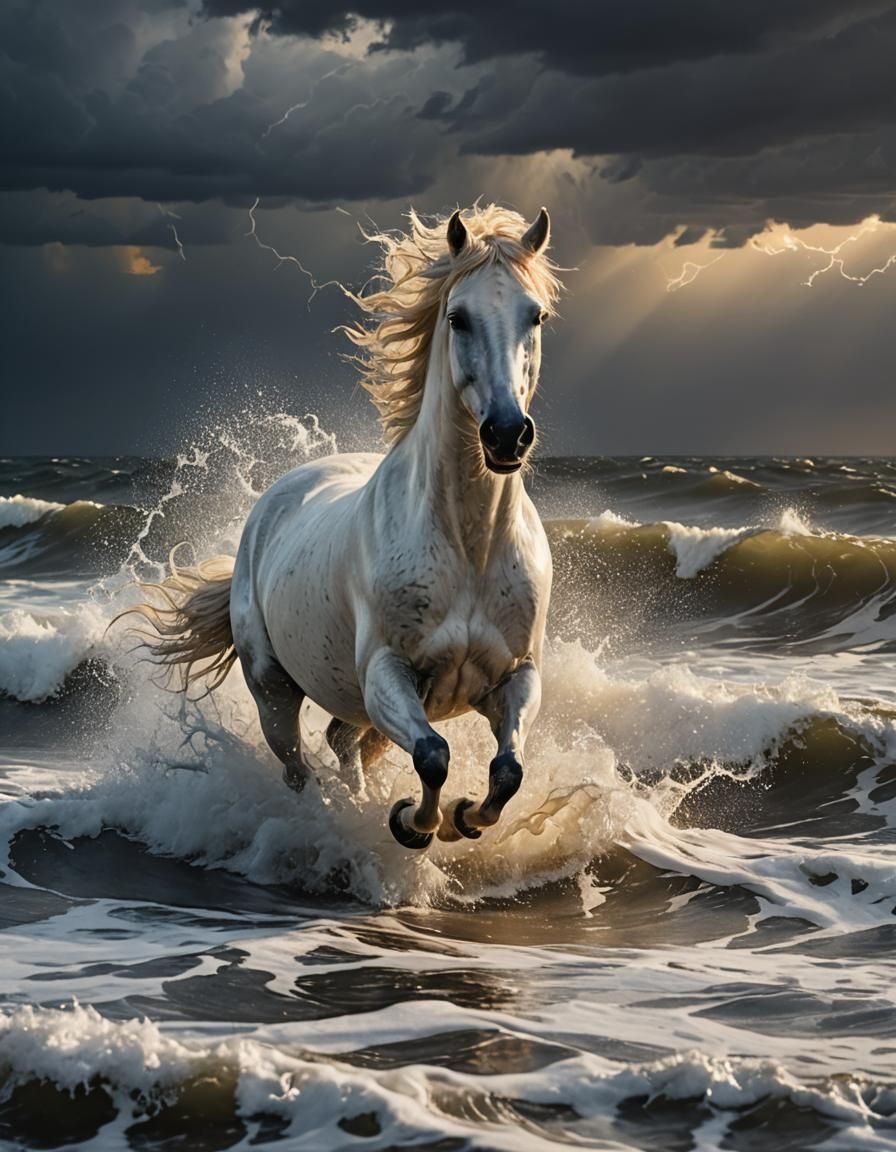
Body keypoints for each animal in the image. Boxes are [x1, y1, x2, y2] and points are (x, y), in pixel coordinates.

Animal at [131, 203, 563, 850]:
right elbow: (434, 756)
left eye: (535, 315)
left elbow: (508, 770)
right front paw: (413, 822)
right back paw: (325, 821)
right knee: (296, 767)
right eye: (457, 318)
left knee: (343, 741)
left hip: (353, 702)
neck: (469, 547)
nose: (507, 435)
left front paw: (462, 817)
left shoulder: (515, 677)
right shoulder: (388, 673)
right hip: (275, 690)